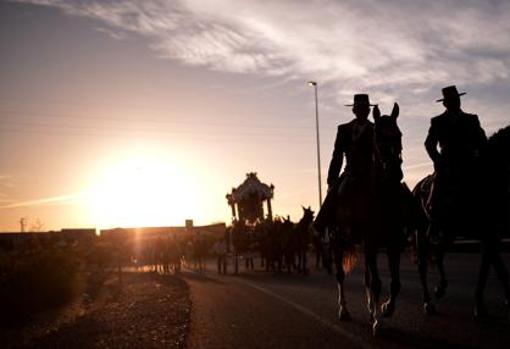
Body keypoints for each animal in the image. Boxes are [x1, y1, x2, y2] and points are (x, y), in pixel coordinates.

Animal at [330, 103, 414, 334]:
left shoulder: (393, 244)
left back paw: (370, 309)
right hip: (339, 241)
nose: (395, 172)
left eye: (399, 134)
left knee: (367, 277)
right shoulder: (371, 242)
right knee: (341, 275)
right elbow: (377, 283)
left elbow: (395, 283)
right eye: (378, 136)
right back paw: (344, 310)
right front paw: (378, 322)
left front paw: (385, 309)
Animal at [414, 124, 510, 316]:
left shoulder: (492, 236)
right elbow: (489, 268)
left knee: (437, 253)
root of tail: (416, 188)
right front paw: (479, 305)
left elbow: (495, 267)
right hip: (422, 233)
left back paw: (440, 288)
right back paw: (428, 301)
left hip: (448, 232)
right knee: (424, 264)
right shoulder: (488, 235)